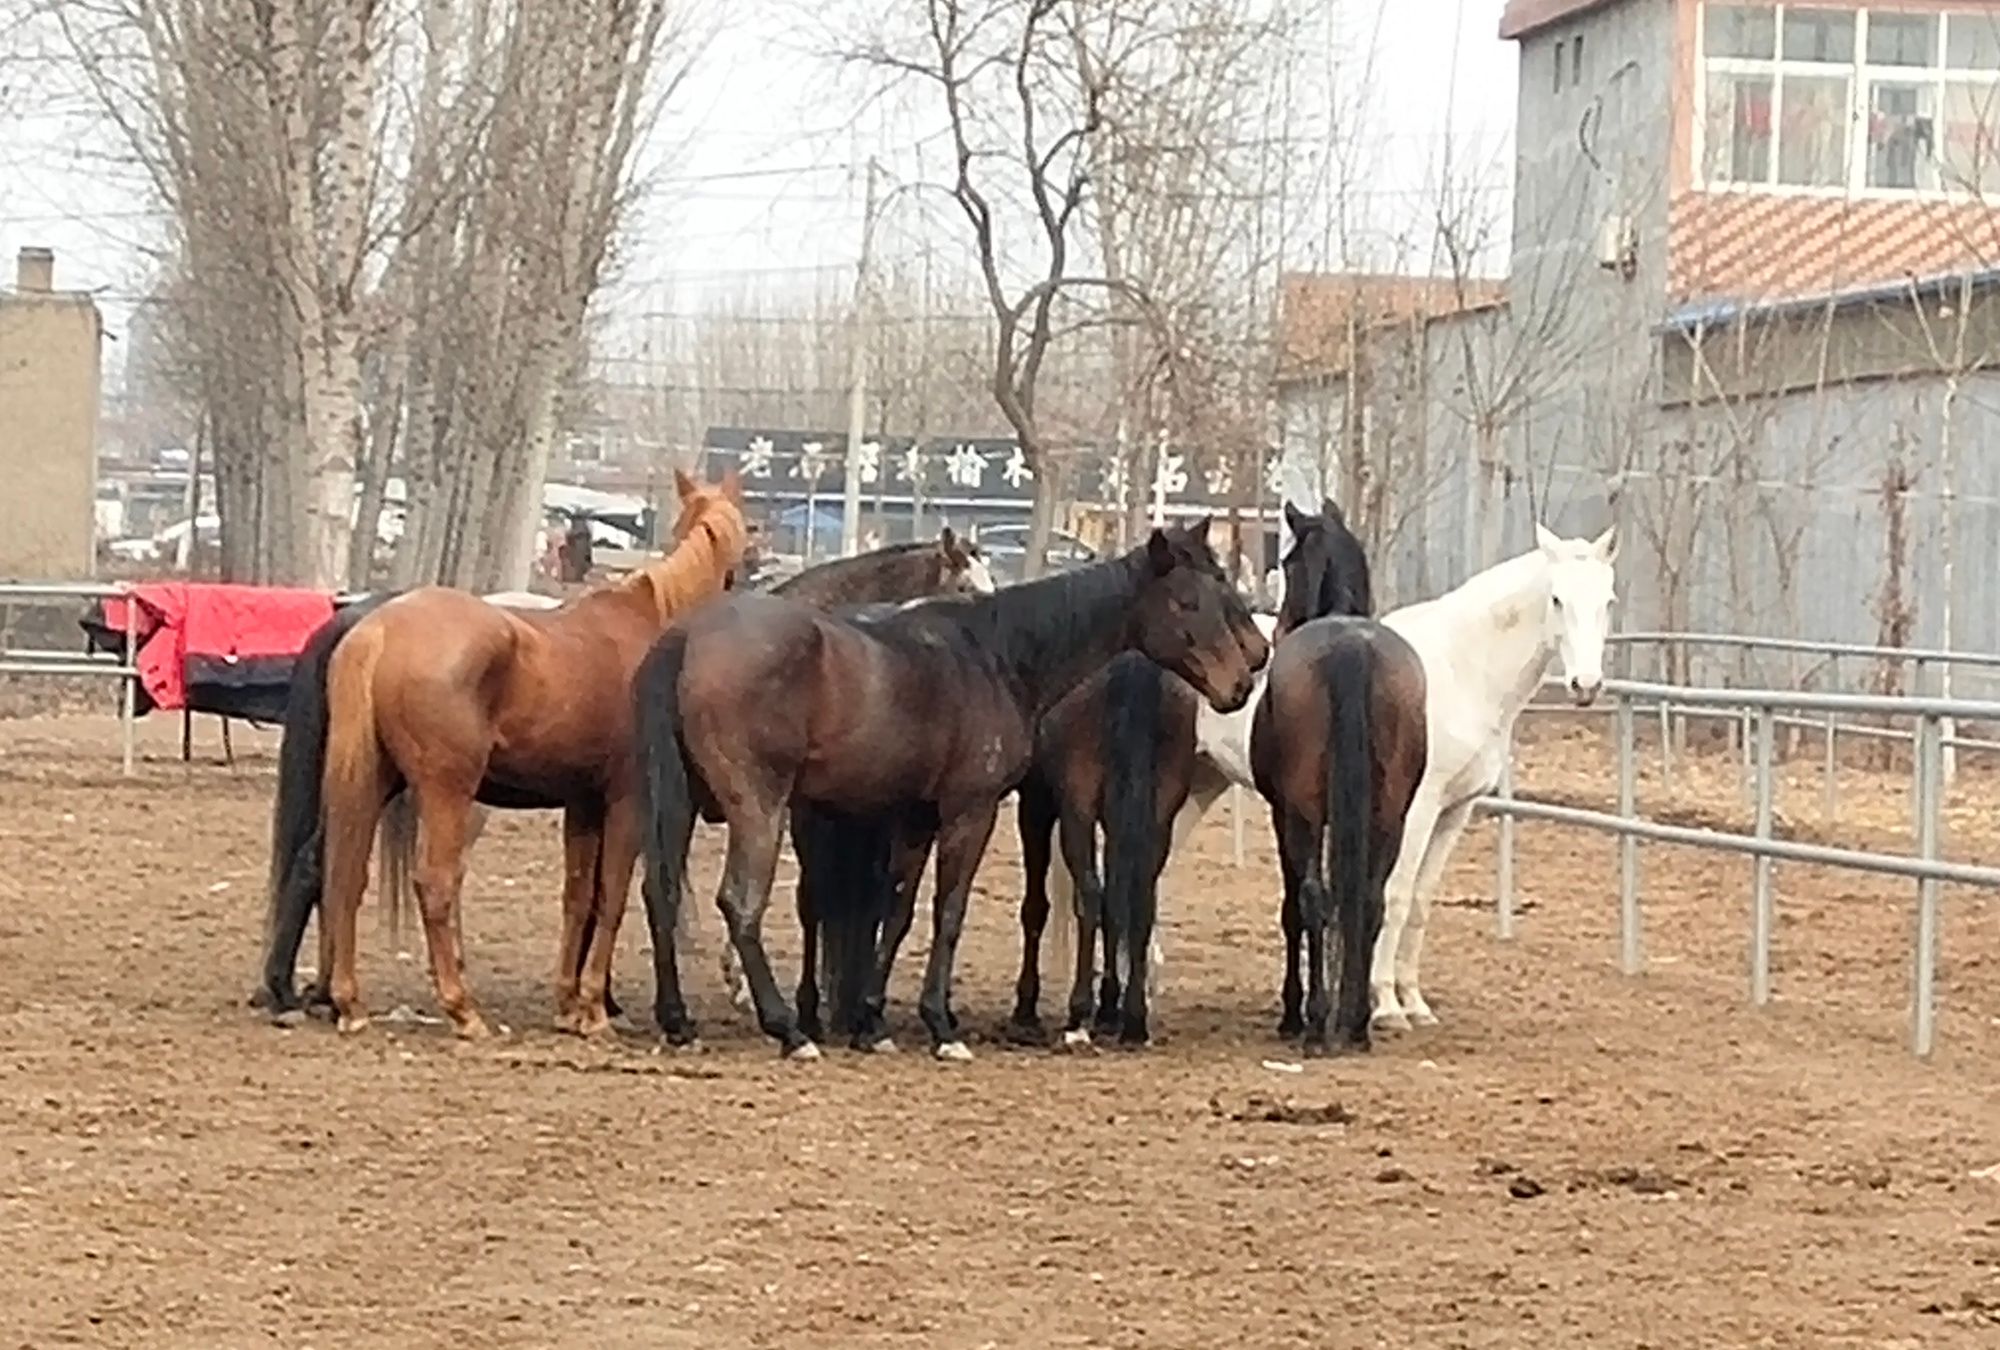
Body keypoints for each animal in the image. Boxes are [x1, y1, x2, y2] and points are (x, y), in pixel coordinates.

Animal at [257, 468, 750, 1040]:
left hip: (374, 782)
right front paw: (594, 1008)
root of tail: (377, 629)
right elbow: (610, 895)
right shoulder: (625, 800)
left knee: (341, 871)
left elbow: (578, 897)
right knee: (435, 882)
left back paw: (343, 999)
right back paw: (461, 1007)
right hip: (448, 793)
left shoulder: (583, 804)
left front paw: (569, 1004)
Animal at [631, 518, 1270, 1061]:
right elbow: (949, 910)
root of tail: (686, 637)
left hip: (681, 803)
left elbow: (898, 911)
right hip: (760, 809)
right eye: (1187, 601)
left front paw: (872, 1022)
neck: (996, 654)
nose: (1246, 674)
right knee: (741, 903)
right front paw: (938, 1023)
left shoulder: (917, 817)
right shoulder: (970, 810)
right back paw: (787, 1028)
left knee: (663, 892)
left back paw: (679, 1020)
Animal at [1012, 499, 1373, 1049]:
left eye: (1287, 564)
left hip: (1087, 804)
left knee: (1096, 894)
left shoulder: (1043, 803)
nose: (1263, 650)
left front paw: (1035, 1005)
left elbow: (1045, 903)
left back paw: (1089, 1011)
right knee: (1137, 893)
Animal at [1365, 523, 1620, 1030]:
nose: (1585, 685)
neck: (1458, 670)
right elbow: (1395, 894)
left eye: (1608, 601)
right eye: (1557, 599)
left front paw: (1414, 1002)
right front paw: (1385, 1004)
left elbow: (1420, 900)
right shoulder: (1415, 809)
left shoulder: (1454, 812)